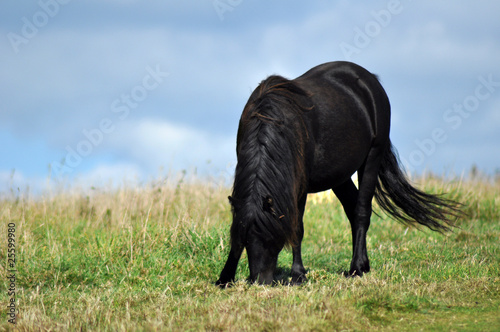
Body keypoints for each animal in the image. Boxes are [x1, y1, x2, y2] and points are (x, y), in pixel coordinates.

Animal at [215, 61, 460, 286]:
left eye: (271, 236)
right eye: (244, 239)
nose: (261, 281)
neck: (271, 120)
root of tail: (370, 81)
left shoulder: (299, 186)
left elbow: (297, 227)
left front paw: (298, 274)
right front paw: (224, 277)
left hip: (372, 157)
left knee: (361, 212)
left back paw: (356, 268)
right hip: (339, 177)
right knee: (352, 208)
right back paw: (364, 263)